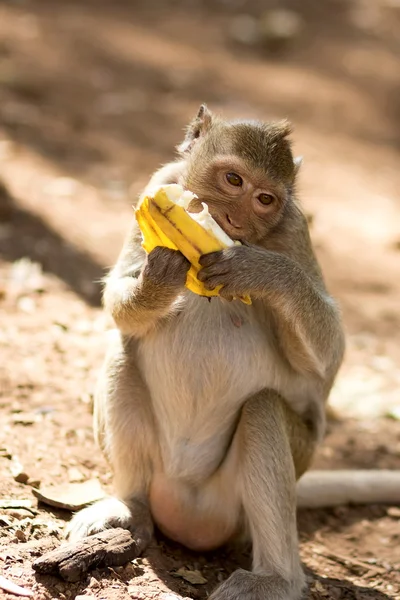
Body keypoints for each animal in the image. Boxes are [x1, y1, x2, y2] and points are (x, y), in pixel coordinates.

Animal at [66, 105, 346, 600]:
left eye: (265, 199)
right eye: (233, 180)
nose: (232, 221)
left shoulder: (294, 231)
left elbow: (325, 364)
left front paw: (262, 271)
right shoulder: (157, 182)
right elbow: (119, 297)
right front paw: (160, 276)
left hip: (235, 507)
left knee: (263, 406)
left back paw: (276, 579)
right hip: (161, 481)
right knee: (123, 351)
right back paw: (129, 508)